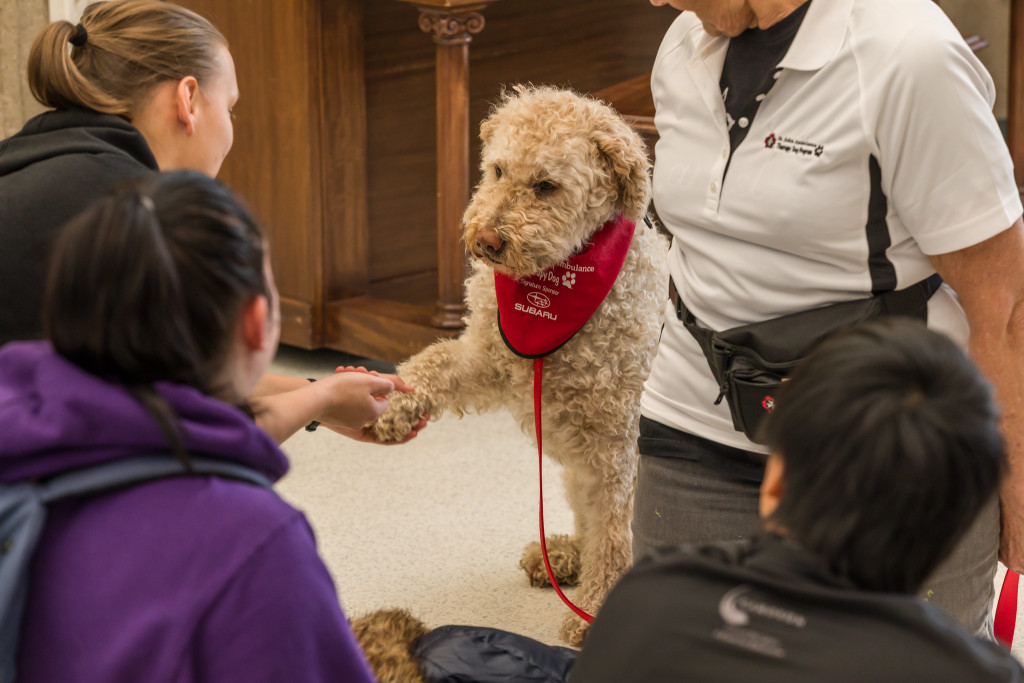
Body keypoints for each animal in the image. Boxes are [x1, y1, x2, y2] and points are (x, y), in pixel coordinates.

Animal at [372, 85, 667, 647]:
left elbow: (615, 535)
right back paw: (563, 556)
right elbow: (434, 362)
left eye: (546, 186)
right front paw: (392, 402)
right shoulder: (488, 357)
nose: (485, 240)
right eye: (497, 170)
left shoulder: (620, 445)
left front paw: (594, 613)